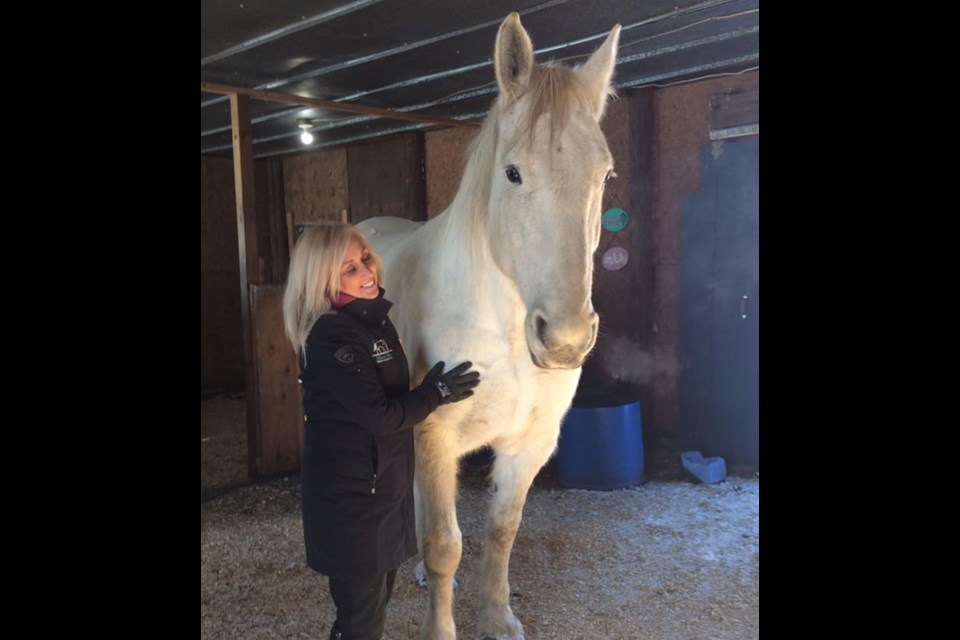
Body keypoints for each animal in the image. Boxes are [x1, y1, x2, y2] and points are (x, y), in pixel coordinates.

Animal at [356, 12, 620, 636]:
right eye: (513, 173)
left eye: (605, 175)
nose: (565, 341)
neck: (504, 334)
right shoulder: (435, 434)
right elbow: (445, 545)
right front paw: (442, 627)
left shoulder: (529, 445)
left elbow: (501, 532)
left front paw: (498, 618)